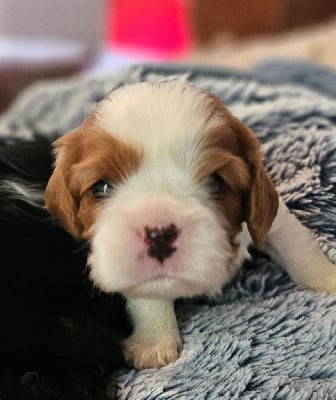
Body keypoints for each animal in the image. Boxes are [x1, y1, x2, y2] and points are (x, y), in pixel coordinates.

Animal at [44, 79, 336, 372]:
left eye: (216, 182)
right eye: (101, 188)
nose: (159, 234)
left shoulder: (276, 221)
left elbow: (297, 246)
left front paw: (327, 280)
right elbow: (147, 293)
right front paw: (155, 341)